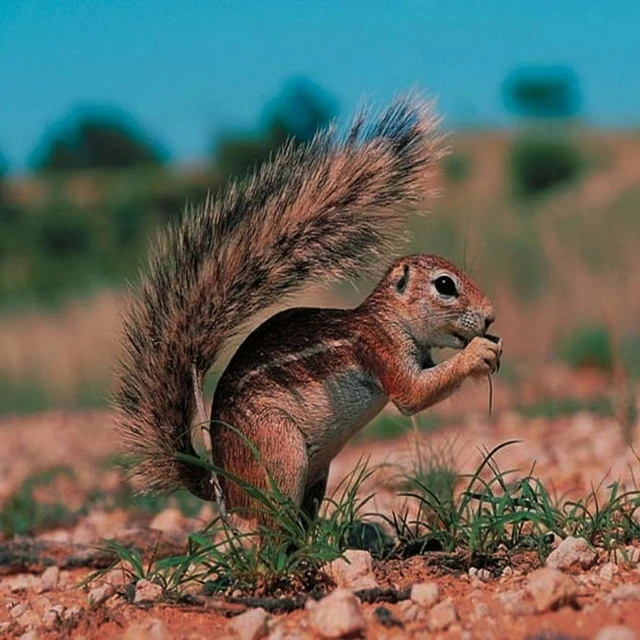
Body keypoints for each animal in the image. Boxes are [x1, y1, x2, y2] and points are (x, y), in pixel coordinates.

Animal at [116, 95, 504, 524]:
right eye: (445, 286)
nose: (490, 316)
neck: (389, 319)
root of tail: (223, 481)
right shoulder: (379, 349)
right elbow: (413, 395)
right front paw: (479, 353)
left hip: (316, 475)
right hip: (279, 452)